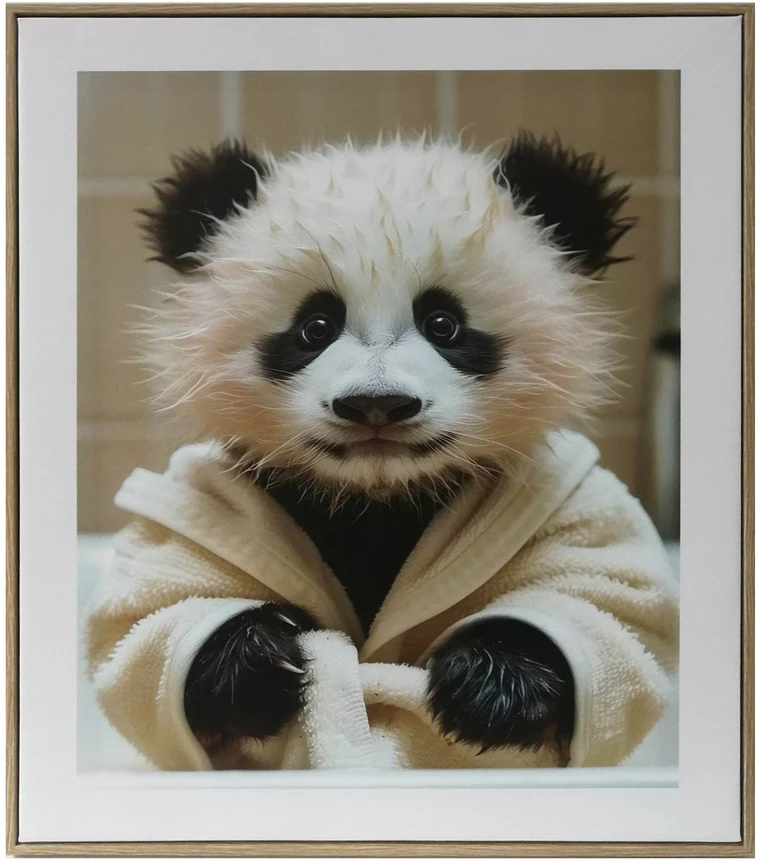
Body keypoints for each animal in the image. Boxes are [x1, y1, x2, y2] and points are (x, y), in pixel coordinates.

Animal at [86, 133, 678, 770]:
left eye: (443, 323)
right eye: (315, 326)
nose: (377, 404)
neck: (377, 496)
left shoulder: (564, 506)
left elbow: (602, 604)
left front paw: (492, 688)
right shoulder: (201, 511)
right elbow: (152, 620)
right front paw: (260, 662)